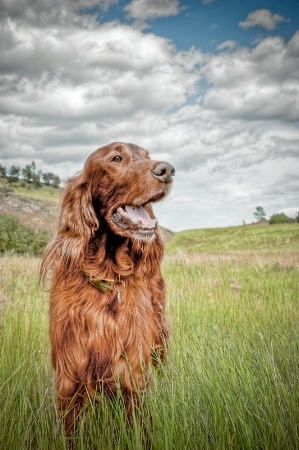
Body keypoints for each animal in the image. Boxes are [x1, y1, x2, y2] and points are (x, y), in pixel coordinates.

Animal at [40, 142, 176, 438]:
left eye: (147, 156)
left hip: (159, 336)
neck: (107, 275)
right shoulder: (71, 379)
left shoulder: (132, 373)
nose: (167, 170)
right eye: (116, 158)